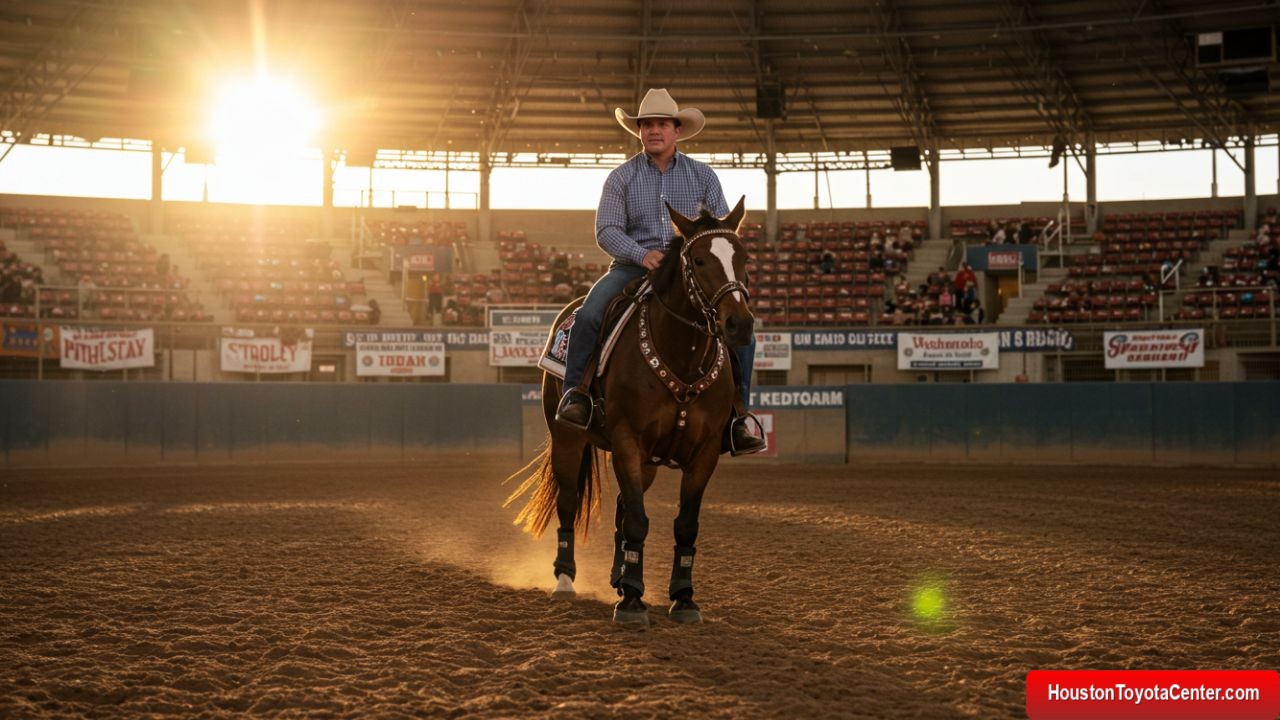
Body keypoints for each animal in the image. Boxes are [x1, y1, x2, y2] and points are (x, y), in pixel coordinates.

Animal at [504, 194, 752, 622]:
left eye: (743, 257)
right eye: (699, 260)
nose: (739, 324)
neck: (680, 358)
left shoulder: (703, 453)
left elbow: (684, 524)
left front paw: (682, 597)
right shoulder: (626, 440)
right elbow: (638, 520)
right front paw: (633, 602)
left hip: (648, 460)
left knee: (621, 506)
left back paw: (620, 576)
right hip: (568, 439)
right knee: (569, 503)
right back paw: (566, 580)